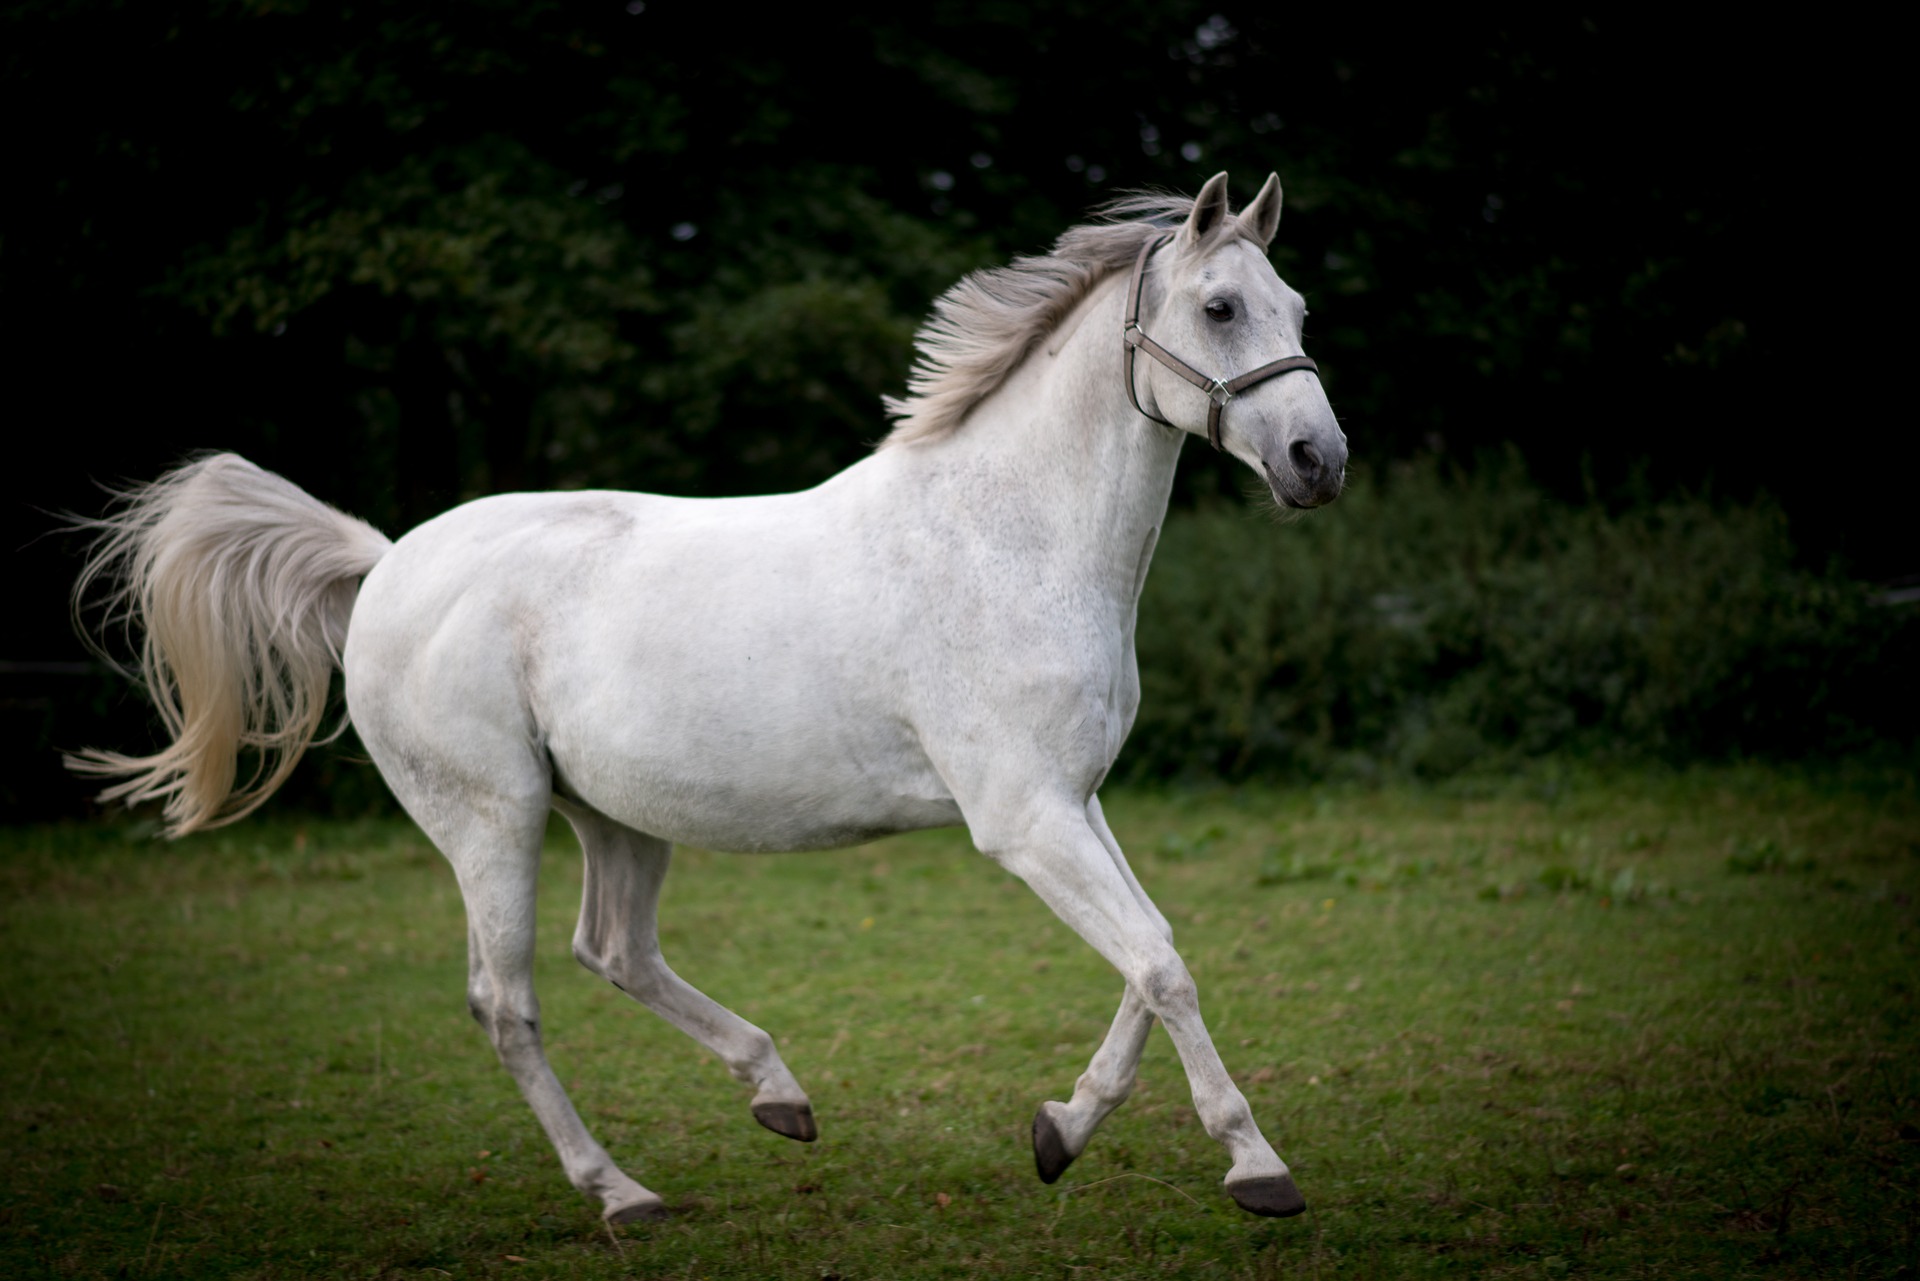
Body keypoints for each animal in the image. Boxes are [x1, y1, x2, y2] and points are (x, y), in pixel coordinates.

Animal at [68, 171, 1345, 1223]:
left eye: (1296, 310)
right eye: (1219, 308)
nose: (1316, 463)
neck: (1006, 540)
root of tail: (384, 565)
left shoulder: (1074, 805)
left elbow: (1151, 956)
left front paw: (1059, 1133)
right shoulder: (1024, 819)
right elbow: (1161, 965)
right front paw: (1256, 1168)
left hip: (614, 817)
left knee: (614, 951)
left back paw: (778, 1096)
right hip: (491, 819)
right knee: (507, 1002)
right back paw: (622, 1193)